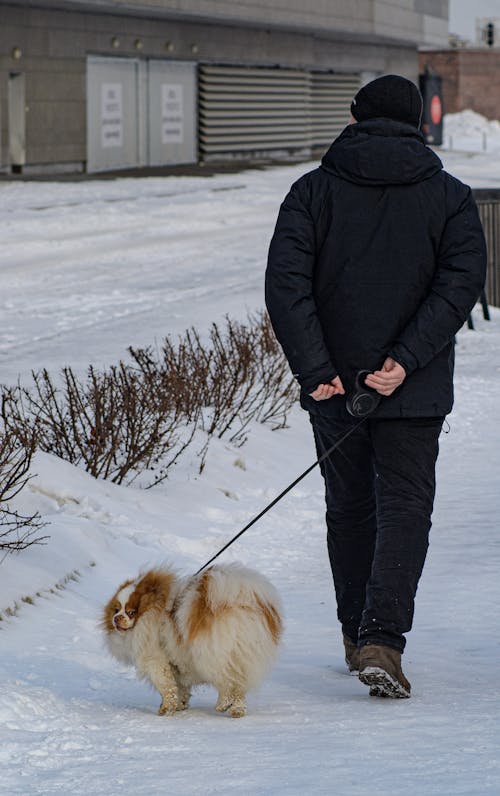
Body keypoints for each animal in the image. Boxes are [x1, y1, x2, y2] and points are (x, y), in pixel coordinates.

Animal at [102, 564, 282, 720]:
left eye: (131, 612)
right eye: (116, 609)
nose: (116, 618)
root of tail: (239, 605)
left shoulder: (156, 661)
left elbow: (166, 687)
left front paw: (166, 709)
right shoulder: (175, 665)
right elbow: (179, 687)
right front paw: (180, 704)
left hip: (211, 654)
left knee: (225, 681)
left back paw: (222, 704)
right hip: (241, 656)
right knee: (238, 686)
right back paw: (237, 710)